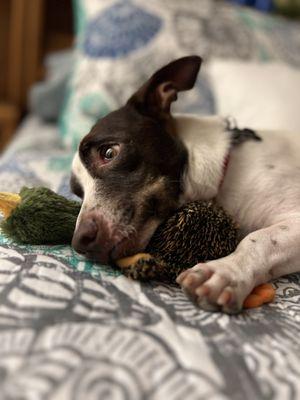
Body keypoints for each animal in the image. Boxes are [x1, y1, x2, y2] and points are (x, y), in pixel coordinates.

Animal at [70, 55, 300, 312]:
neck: (226, 168)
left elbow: (259, 239)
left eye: (108, 152)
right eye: (78, 192)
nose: (79, 242)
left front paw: (225, 272)